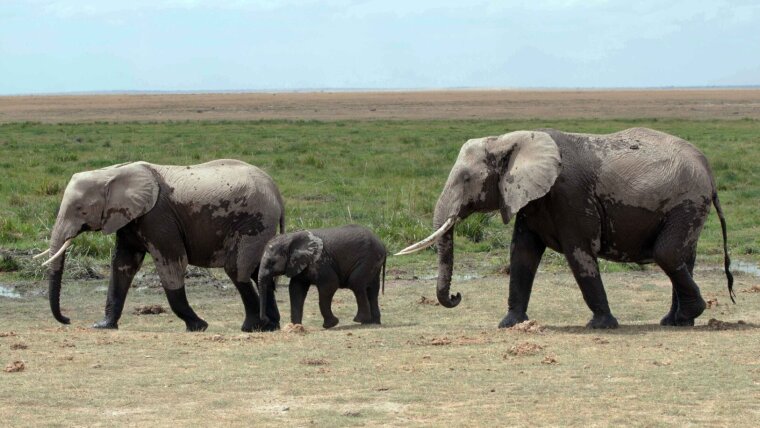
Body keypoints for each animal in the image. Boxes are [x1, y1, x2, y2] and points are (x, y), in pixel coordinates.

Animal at [37, 159, 284, 332]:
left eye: (81, 210)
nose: (68, 319)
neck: (111, 172)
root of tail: (276, 191)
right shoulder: (130, 218)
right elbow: (123, 265)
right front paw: (103, 326)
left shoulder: (157, 218)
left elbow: (172, 263)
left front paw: (198, 326)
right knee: (258, 270)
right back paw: (271, 326)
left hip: (254, 221)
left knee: (236, 269)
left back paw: (251, 327)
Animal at [256, 226, 386, 330]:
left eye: (271, 263)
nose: (265, 320)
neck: (290, 238)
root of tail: (382, 244)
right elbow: (296, 290)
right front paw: (296, 327)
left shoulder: (319, 261)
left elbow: (330, 285)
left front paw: (330, 325)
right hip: (374, 261)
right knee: (372, 289)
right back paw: (372, 322)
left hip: (368, 259)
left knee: (356, 283)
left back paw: (360, 320)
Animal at [400, 127, 732, 328]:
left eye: (467, 179)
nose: (456, 296)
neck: (512, 140)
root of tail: (707, 168)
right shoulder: (531, 200)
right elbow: (521, 256)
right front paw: (510, 324)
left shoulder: (570, 197)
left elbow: (579, 255)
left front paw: (601, 326)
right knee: (682, 257)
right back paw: (675, 321)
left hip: (687, 203)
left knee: (667, 254)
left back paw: (686, 316)